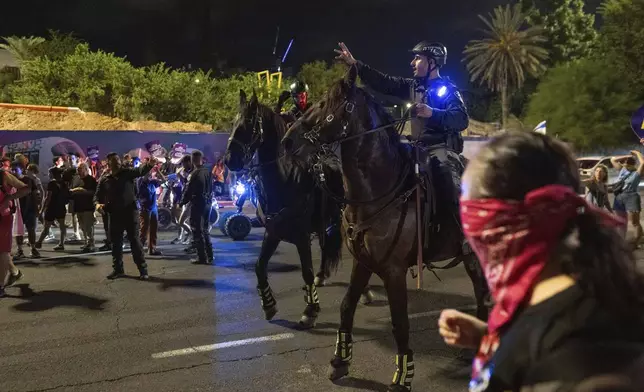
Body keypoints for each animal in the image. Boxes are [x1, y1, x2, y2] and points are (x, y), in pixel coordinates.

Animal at [226, 89, 348, 328]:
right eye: (234, 122)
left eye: (248, 123)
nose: (229, 160)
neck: (286, 179)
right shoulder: (273, 232)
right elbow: (259, 266)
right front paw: (269, 304)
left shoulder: (301, 236)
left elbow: (307, 272)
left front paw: (310, 310)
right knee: (325, 246)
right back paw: (322, 275)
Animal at [280, 66, 488, 390]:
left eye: (325, 103)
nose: (288, 141)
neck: (380, 189)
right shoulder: (363, 262)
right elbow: (346, 306)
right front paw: (340, 361)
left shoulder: (393, 270)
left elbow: (400, 320)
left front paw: (403, 375)